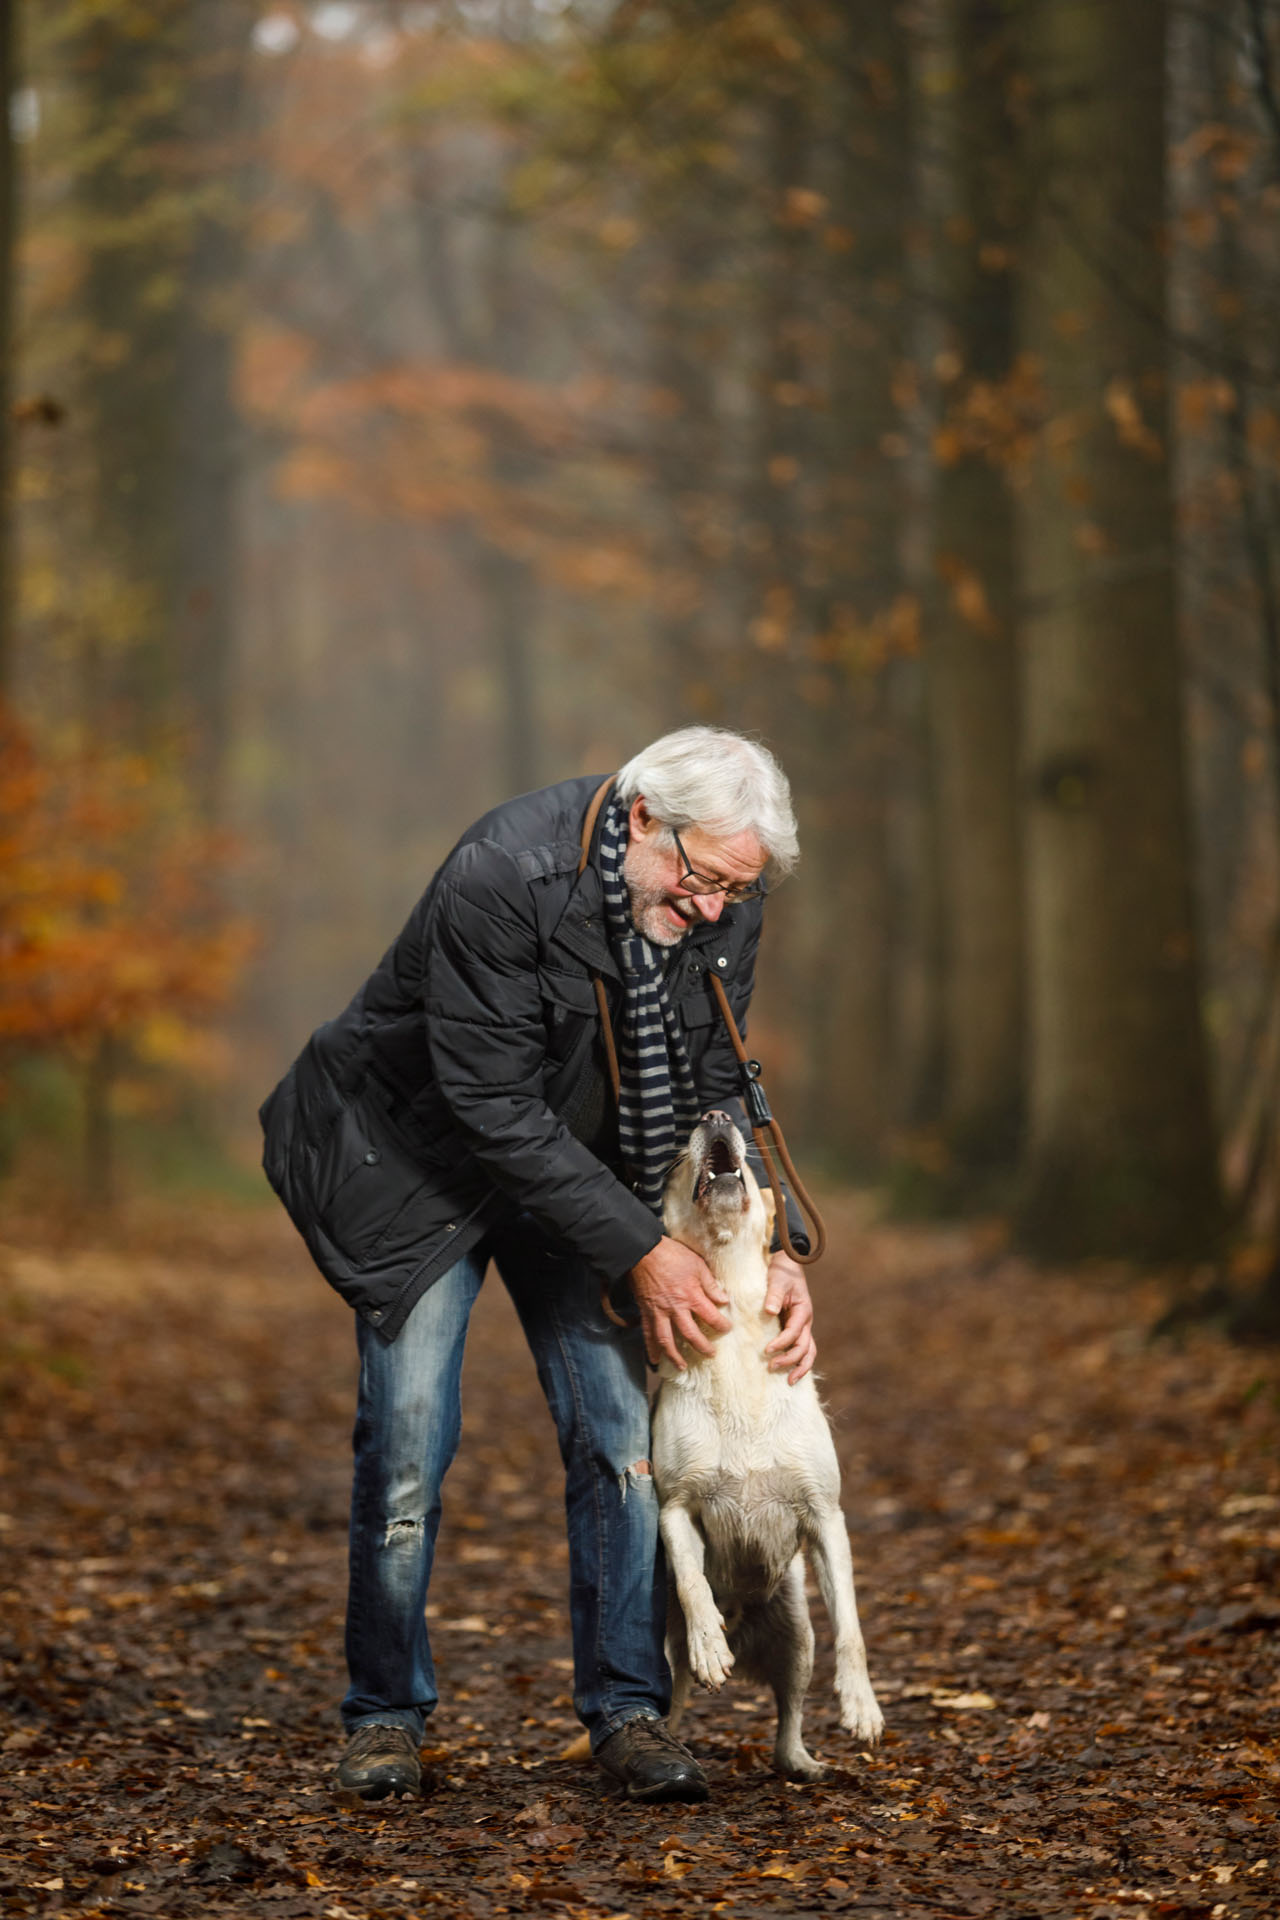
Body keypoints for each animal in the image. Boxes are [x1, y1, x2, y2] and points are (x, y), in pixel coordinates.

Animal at [652, 1113, 882, 1781]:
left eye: (755, 1176)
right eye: (677, 1165)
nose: (717, 1116)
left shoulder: (826, 1517)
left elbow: (852, 1627)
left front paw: (862, 1707)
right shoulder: (675, 1507)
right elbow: (692, 1579)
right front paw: (709, 1646)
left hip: (797, 1635)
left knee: (788, 1720)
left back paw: (805, 1764)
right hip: (665, 1659)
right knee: (670, 1701)